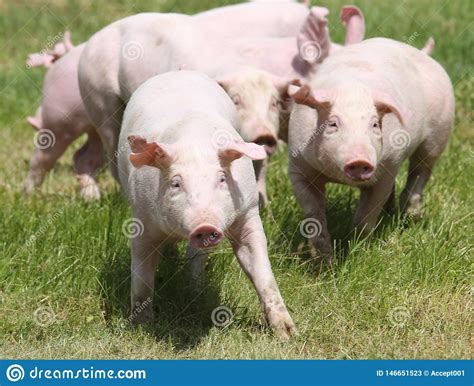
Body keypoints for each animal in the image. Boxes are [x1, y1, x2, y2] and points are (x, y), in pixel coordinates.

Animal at [118, 71, 294, 340]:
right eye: (176, 183)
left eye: (221, 179)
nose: (204, 226)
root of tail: (176, 73)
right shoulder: (142, 218)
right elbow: (142, 278)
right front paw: (141, 327)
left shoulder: (248, 211)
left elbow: (261, 269)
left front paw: (287, 334)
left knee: (196, 256)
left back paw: (196, 288)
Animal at [286, 37, 454, 258]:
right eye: (332, 124)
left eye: (374, 124)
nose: (360, 159)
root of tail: (421, 52)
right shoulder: (298, 166)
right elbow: (314, 216)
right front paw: (323, 261)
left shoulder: (387, 169)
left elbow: (365, 219)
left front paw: (359, 252)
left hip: (438, 134)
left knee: (421, 171)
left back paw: (411, 216)